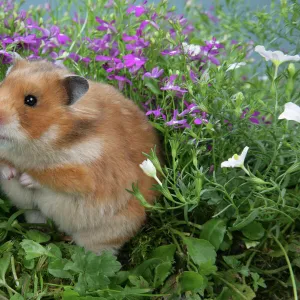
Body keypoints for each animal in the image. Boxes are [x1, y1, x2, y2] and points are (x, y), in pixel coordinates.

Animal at [0, 55, 162, 254]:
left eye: (31, 100)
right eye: (2, 85)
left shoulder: (89, 174)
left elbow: (55, 175)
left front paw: (24, 178)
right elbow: (4, 162)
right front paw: (10, 174)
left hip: (106, 233)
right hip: (33, 213)